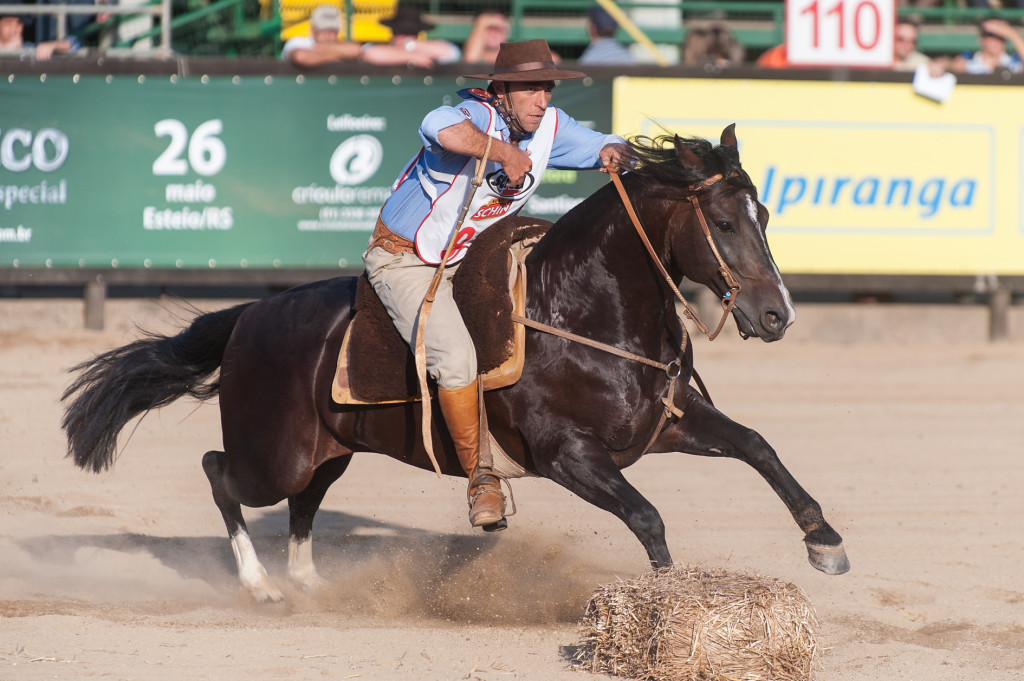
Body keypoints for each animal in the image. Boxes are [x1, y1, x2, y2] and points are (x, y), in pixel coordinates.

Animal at [59, 124, 851, 602]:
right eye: (721, 222)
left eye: (765, 216)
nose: (777, 315)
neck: (577, 311)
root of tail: (251, 315)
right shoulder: (568, 456)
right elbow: (649, 515)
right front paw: (666, 597)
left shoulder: (667, 425)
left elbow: (758, 445)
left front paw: (825, 542)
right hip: (272, 452)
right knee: (220, 472)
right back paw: (261, 585)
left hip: (330, 450)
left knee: (304, 505)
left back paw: (311, 580)